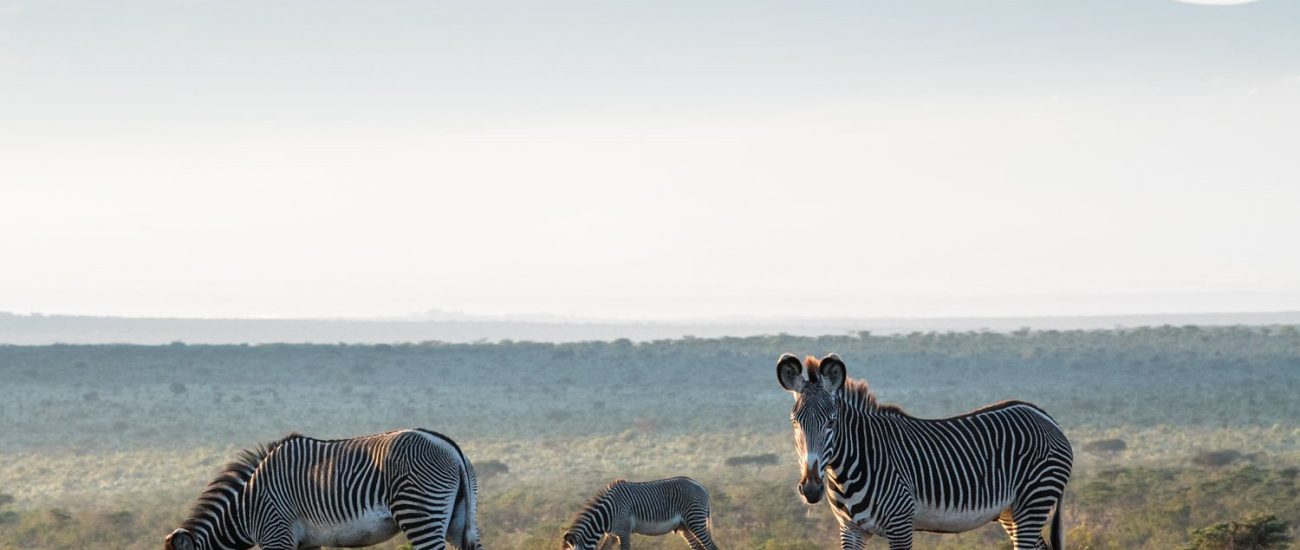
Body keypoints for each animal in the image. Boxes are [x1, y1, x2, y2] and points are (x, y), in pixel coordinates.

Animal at [163, 431, 483, 550]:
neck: (246, 505)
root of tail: (450, 447)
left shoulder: (276, 535)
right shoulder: (306, 542)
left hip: (419, 513)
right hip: (459, 519)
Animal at [561, 478, 717, 550]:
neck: (606, 514)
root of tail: (701, 486)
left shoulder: (623, 531)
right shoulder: (611, 534)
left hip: (695, 520)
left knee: (711, 547)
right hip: (684, 526)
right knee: (698, 547)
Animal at [774, 356, 1071, 548]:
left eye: (832, 423)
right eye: (794, 422)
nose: (811, 488)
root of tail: (1045, 417)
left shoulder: (901, 525)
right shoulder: (851, 531)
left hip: (1034, 501)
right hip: (1011, 511)